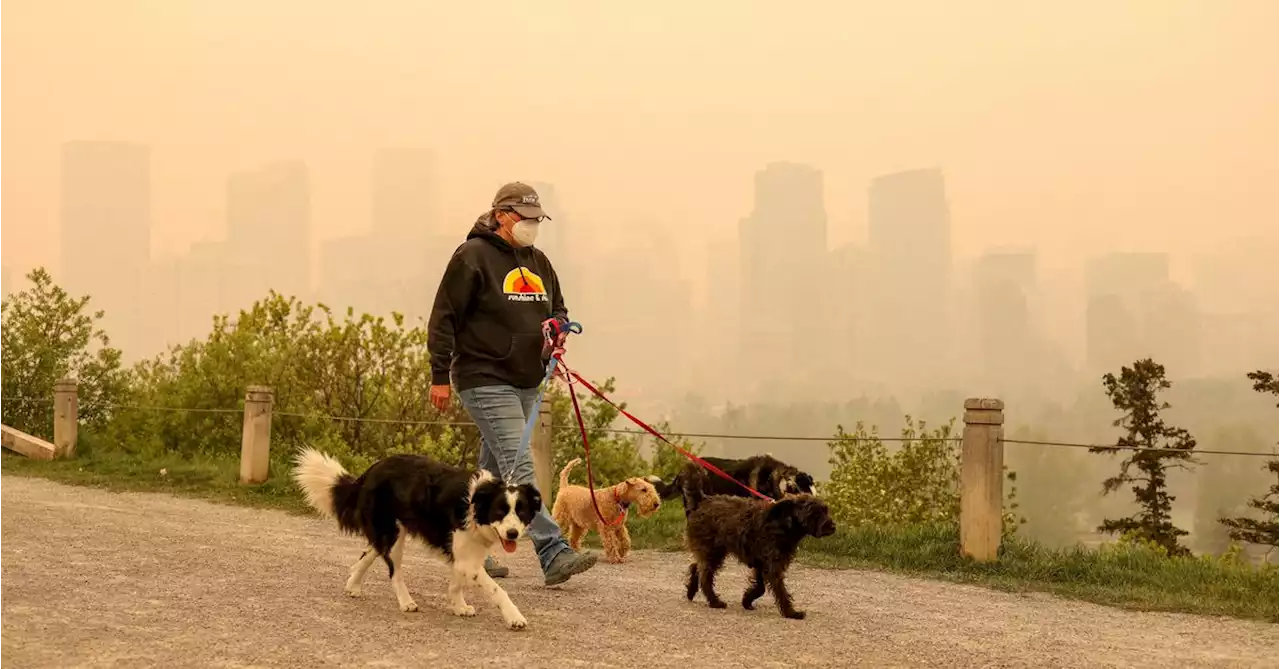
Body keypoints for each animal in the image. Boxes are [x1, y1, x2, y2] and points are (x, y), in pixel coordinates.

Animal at [293, 447, 540, 631]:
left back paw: (353, 585)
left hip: (388, 531)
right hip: (394, 535)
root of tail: (370, 472)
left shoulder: (466, 555)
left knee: (370, 552)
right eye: (500, 511)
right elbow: (497, 590)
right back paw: (406, 602)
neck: (476, 503)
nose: (513, 534)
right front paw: (514, 617)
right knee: (394, 571)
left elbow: (457, 582)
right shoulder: (466, 558)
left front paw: (458, 606)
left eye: (521, 512)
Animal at [686, 468, 834, 621]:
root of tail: (702, 501)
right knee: (705, 577)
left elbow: (760, 587)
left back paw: (691, 591)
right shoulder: (772, 565)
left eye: (825, 510)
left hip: (714, 552)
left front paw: (747, 600)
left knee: (696, 567)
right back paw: (715, 601)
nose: (832, 526)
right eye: (815, 513)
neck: (783, 523)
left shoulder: (761, 563)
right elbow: (779, 590)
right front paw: (791, 613)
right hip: (712, 551)